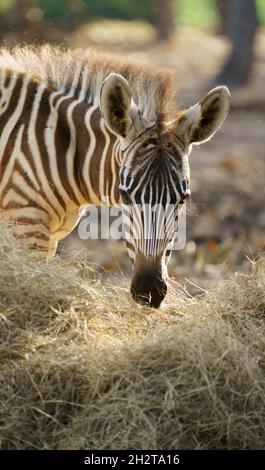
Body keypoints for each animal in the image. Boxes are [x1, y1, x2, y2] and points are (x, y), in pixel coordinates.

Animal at [0, 45, 229, 308]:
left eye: (183, 199)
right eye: (125, 195)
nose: (149, 291)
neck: (61, 148)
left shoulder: (48, 236)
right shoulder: (26, 223)